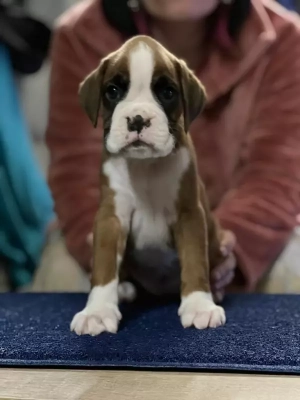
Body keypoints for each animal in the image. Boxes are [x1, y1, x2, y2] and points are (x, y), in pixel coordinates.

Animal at [70, 34, 225, 336]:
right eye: (113, 90)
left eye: (167, 92)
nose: (138, 119)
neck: (146, 167)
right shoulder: (110, 218)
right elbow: (104, 263)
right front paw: (97, 312)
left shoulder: (189, 214)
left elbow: (195, 260)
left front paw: (199, 305)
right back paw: (125, 289)